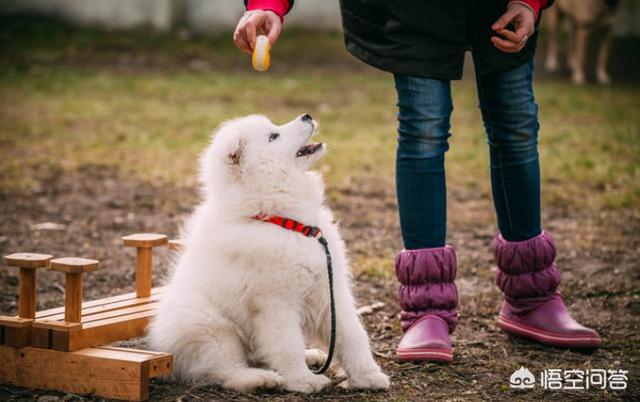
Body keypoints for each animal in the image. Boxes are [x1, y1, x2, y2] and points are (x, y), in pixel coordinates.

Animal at [149, 112, 390, 392]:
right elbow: (287, 345)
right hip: (211, 328)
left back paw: (310, 355)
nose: (307, 115)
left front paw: (368, 376)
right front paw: (303, 381)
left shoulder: (330, 291)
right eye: (273, 136)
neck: (287, 222)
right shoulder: (275, 303)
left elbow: (352, 335)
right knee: (225, 370)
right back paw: (262, 379)